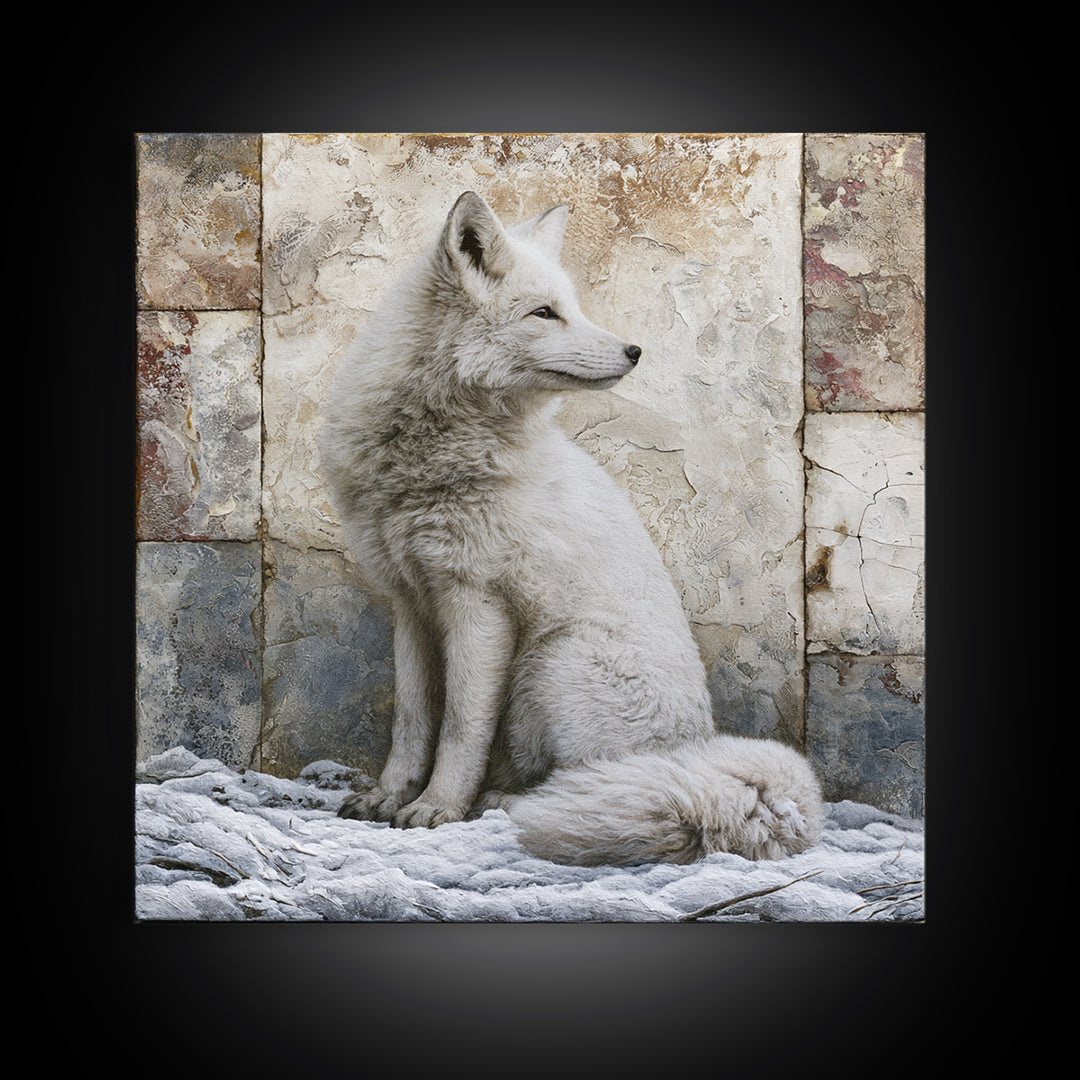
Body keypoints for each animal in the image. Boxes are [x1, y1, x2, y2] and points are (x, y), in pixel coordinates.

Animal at [319, 190, 824, 865]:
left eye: (573, 307)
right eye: (544, 312)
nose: (635, 351)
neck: (428, 463)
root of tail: (694, 748)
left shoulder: (480, 604)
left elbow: (460, 726)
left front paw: (437, 807)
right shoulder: (411, 602)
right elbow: (412, 721)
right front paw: (388, 796)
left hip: (551, 662)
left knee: (581, 781)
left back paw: (508, 803)